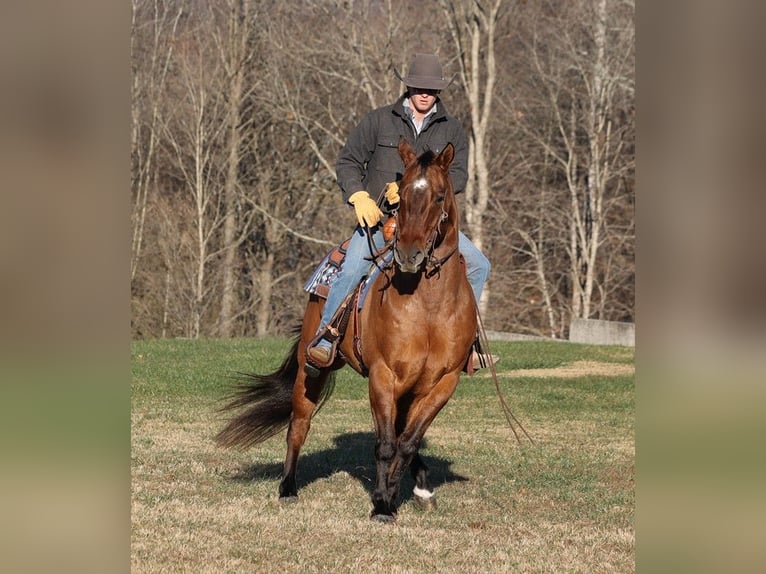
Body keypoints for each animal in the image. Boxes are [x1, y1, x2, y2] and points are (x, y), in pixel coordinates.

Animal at [216, 141, 476, 528]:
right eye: (404, 191)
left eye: (441, 195)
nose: (409, 253)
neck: (429, 307)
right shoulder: (383, 375)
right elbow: (385, 444)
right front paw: (381, 504)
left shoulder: (442, 383)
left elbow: (408, 442)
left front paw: (398, 495)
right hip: (312, 370)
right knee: (299, 424)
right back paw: (288, 488)